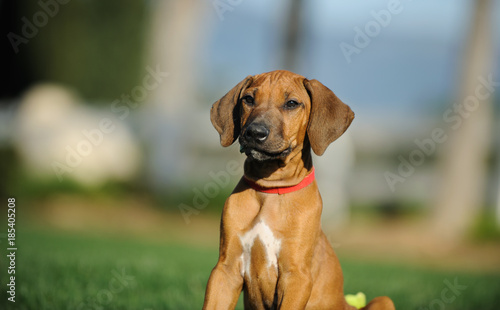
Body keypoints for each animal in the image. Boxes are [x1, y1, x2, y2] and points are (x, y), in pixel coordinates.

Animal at [203, 71, 394, 310]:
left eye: (291, 103)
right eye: (248, 99)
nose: (254, 132)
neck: (271, 189)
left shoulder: (296, 275)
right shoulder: (225, 270)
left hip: (383, 300)